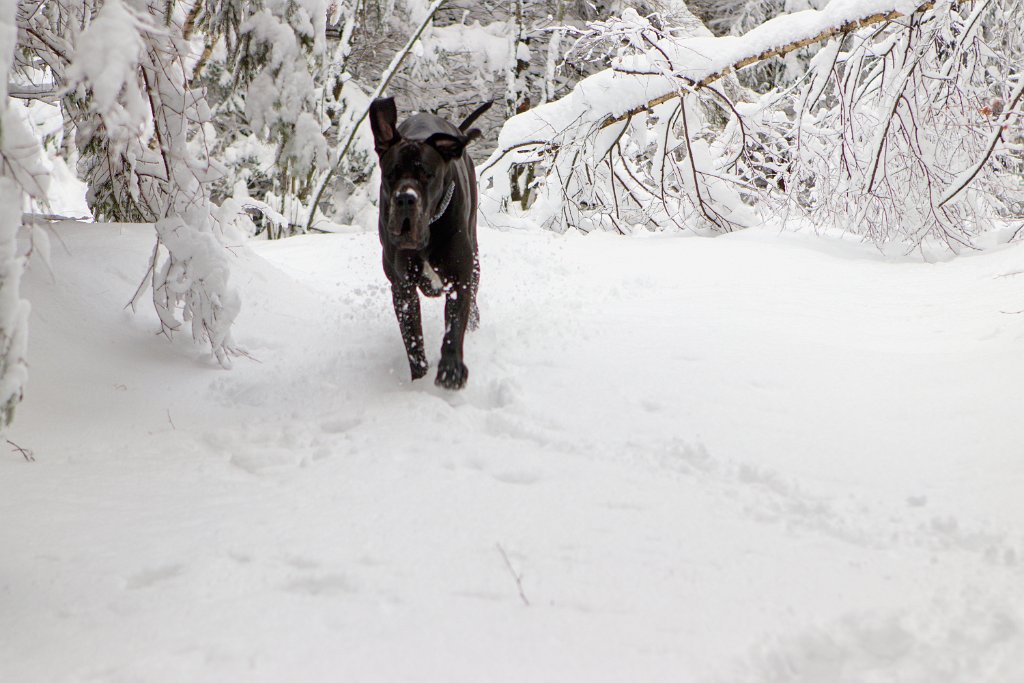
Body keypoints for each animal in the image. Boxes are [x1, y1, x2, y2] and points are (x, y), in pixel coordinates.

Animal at [368, 98, 491, 393]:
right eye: (391, 174)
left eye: (427, 174)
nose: (405, 198)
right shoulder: (402, 288)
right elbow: (413, 340)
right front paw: (419, 381)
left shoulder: (459, 280)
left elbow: (454, 328)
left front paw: (450, 370)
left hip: (475, 260)